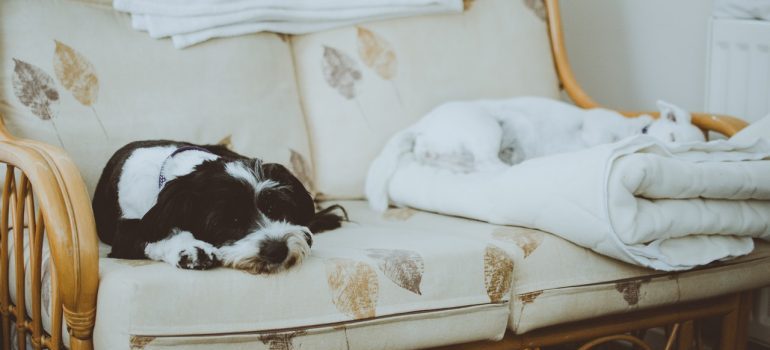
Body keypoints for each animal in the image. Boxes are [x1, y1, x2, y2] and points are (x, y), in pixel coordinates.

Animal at [91, 139, 344, 274]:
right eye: (229, 220)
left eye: (274, 208)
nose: (277, 250)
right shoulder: (125, 233)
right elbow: (155, 234)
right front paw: (191, 247)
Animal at [364, 95, 704, 211]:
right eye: (672, 136)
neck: (634, 129)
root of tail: (421, 126)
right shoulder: (594, 125)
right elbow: (597, 136)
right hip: (486, 125)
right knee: (489, 165)